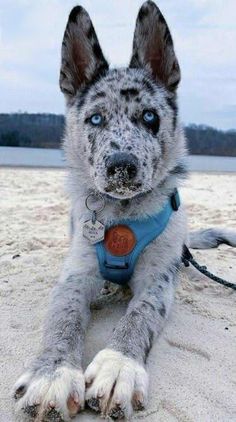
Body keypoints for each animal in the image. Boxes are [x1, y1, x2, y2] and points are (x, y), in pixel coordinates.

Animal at [13, 1, 236, 420]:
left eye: (149, 117)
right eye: (96, 118)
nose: (121, 166)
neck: (122, 213)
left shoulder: (158, 279)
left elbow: (140, 314)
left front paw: (119, 367)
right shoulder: (76, 273)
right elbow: (62, 317)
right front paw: (53, 373)